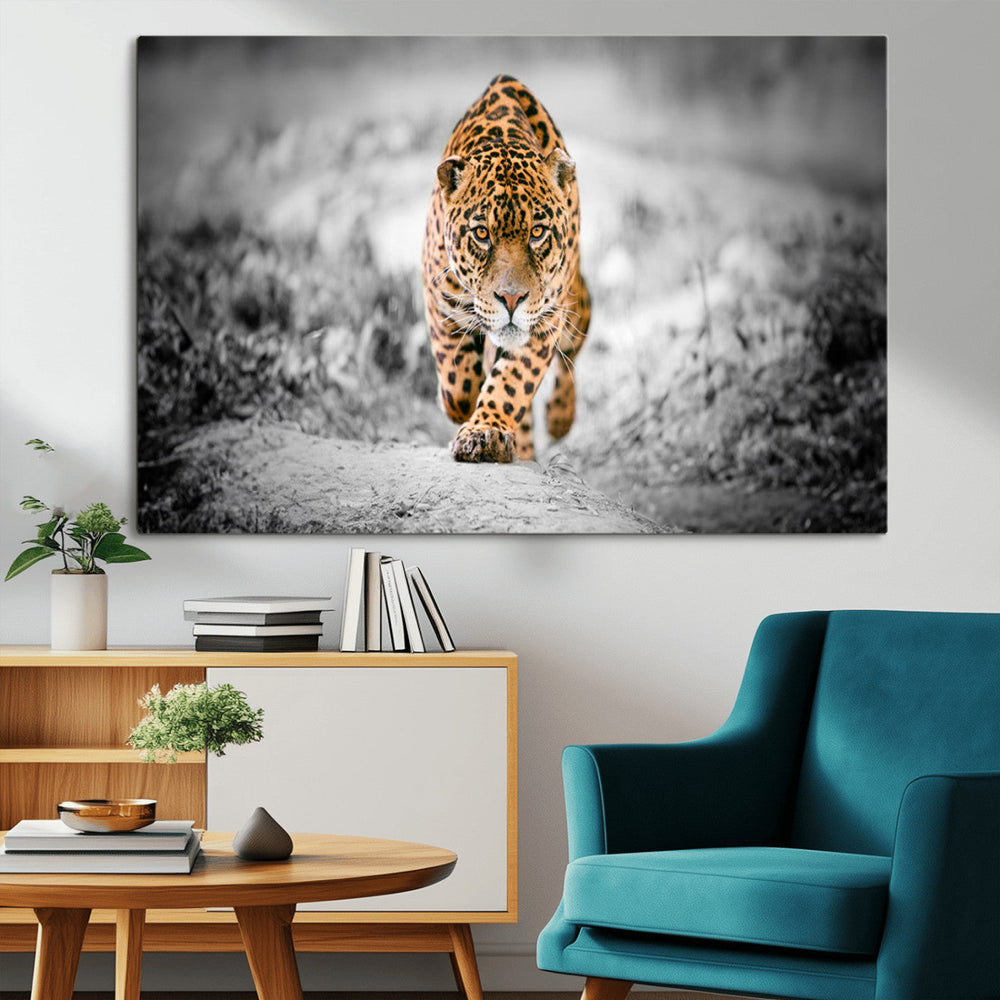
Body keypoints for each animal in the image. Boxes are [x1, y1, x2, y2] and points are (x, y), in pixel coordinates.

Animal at [422, 75, 590, 463]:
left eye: (538, 232)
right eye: (482, 234)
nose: (511, 299)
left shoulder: (546, 319)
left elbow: (512, 382)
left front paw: (485, 432)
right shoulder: (439, 299)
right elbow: (457, 382)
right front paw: (463, 407)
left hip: (576, 303)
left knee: (571, 355)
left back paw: (559, 418)